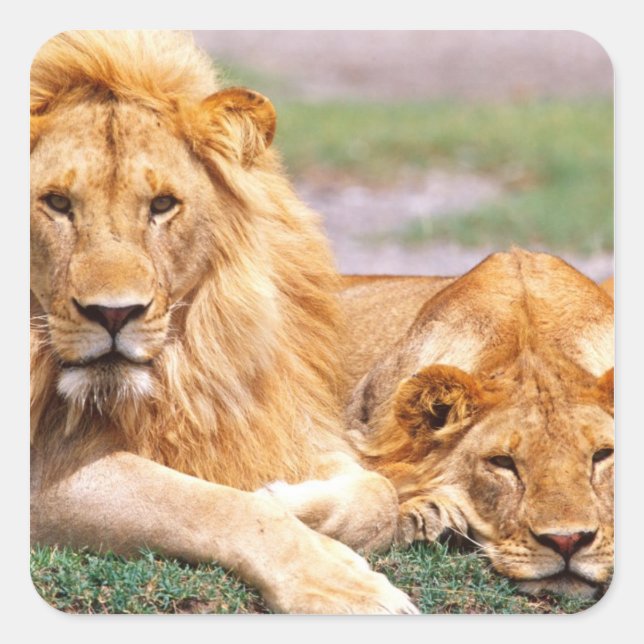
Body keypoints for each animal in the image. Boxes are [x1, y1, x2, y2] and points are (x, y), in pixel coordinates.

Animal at [30, 30, 416, 614]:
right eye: (55, 202)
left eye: (162, 205)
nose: (114, 312)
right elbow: (218, 506)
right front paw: (341, 584)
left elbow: (380, 493)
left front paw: (290, 500)